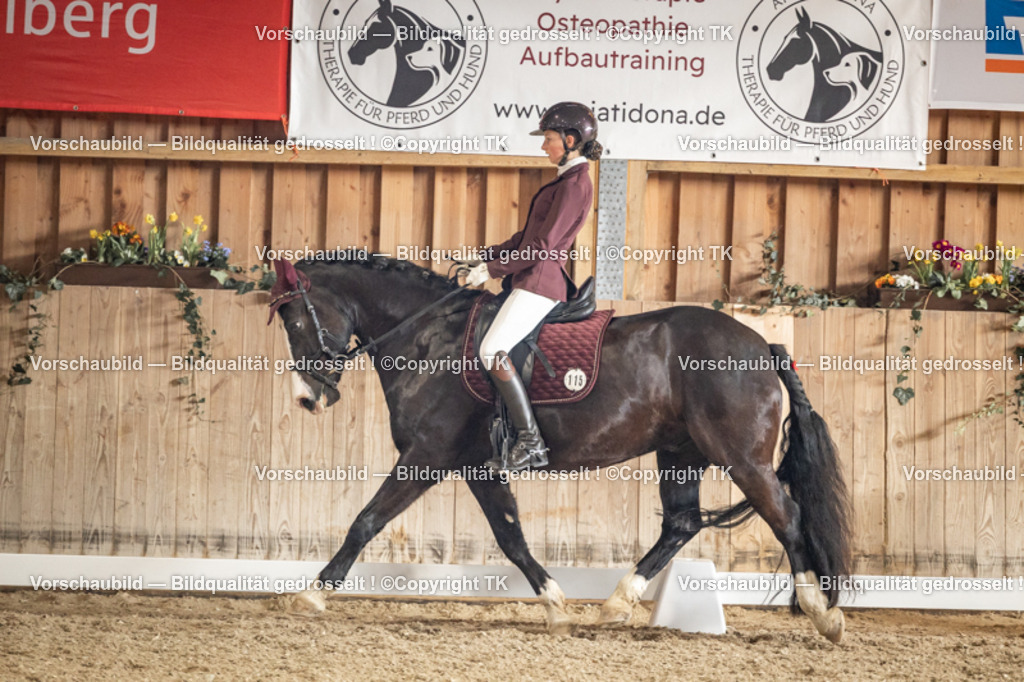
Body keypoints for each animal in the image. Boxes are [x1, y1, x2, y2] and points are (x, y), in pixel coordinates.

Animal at [274, 256, 852, 643]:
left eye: (296, 319)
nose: (307, 398)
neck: (427, 338)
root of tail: (761, 345)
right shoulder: (477, 467)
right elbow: (511, 537)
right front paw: (555, 605)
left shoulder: (427, 456)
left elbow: (365, 521)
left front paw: (311, 594)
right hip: (680, 452)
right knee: (682, 523)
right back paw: (616, 604)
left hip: (741, 458)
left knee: (787, 516)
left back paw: (823, 613)